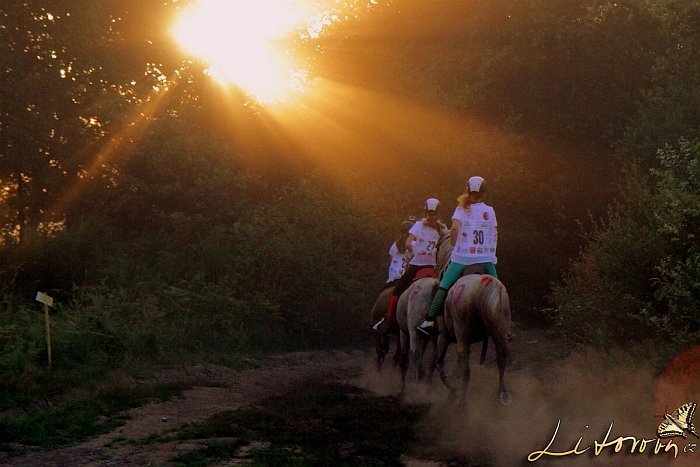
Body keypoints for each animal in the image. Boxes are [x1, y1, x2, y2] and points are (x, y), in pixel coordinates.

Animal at [434, 274, 512, 406]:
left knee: (465, 370)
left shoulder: (444, 336)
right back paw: (502, 393)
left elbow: (440, 364)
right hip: (499, 331)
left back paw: (462, 404)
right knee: (501, 360)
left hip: (461, 334)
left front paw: (453, 388)